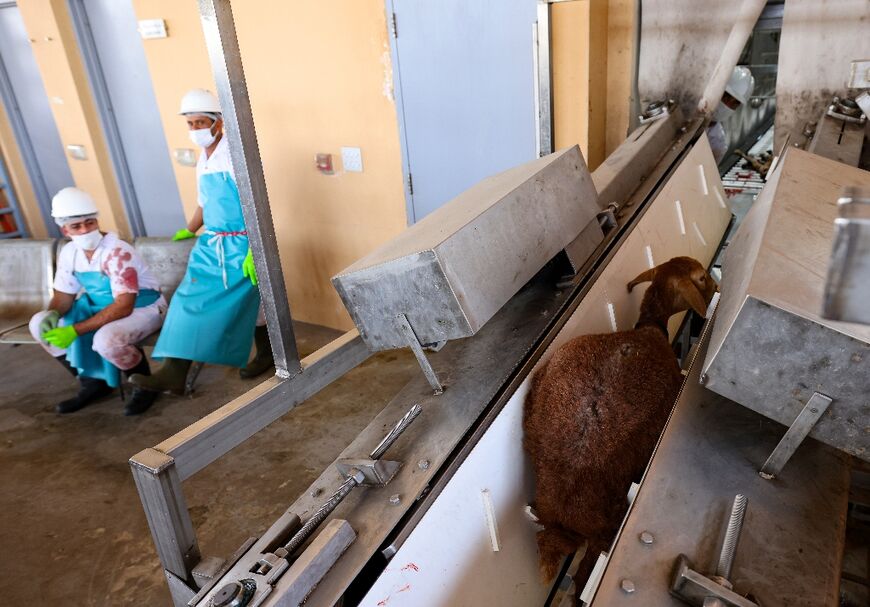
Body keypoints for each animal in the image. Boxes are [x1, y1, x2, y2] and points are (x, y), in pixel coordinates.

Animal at [524, 258, 716, 588]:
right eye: (702, 278)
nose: (716, 286)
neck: (650, 328)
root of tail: (559, 509)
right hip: (605, 528)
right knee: (581, 581)